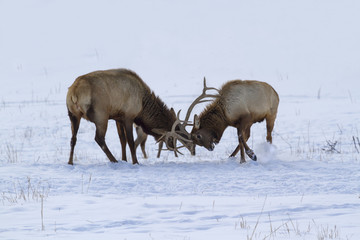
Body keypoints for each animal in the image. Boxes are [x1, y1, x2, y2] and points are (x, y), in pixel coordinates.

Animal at [64, 68, 194, 164]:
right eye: (171, 137)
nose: (172, 146)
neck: (142, 107)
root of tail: (74, 93)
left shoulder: (117, 117)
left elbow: (122, 140)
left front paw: (124, 159)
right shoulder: (128, 116)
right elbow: (131, 141)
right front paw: (135, 162)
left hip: (73, 115)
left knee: (73, 139)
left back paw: (70, 162)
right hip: (101, 116)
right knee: (99, 138)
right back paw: (114, 160)